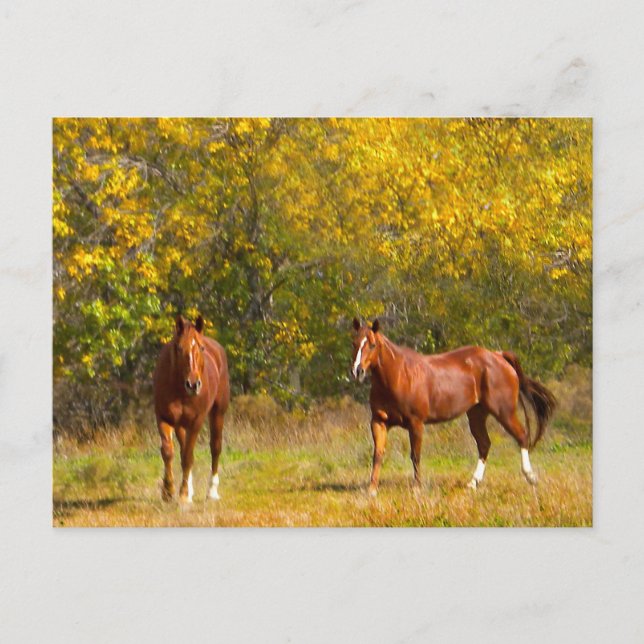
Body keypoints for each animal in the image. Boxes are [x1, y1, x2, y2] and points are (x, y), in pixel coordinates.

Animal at [153, 315, 230, 503]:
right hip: (181, 424)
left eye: (201, 348)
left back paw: (211, 491)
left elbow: (188, 457)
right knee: (182, 449)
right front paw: (168, 491)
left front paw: (183, 495)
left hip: (218, 412)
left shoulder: (196, 421)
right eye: (179, 348)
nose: (193, 384)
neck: (179, 390)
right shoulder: (164, 418)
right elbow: (168, 452)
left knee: (215, 447)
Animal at [351, 318, 556, 496]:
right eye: (354, 343)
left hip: (504, 412)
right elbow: (377, 454)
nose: (357, 371)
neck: (399, 375)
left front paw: (416, 488)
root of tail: (498, 356)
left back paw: (531, 477)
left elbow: (415, 455)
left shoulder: (416, 423)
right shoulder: (378, 421)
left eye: (372, 345)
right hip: (477, 414)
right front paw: (372, 489)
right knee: (484, 444)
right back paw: (473, 483)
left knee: (522, 436)